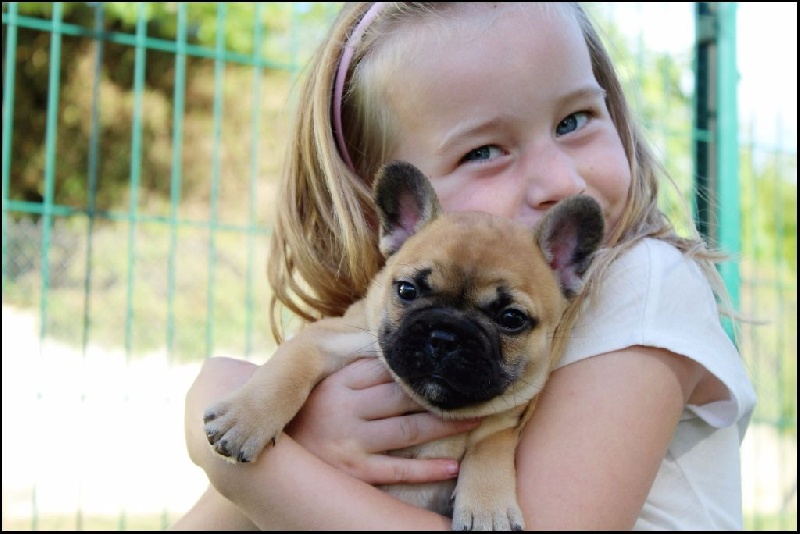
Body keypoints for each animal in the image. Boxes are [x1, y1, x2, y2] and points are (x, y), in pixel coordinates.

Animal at [203, 160, 604, 532]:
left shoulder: (504, 420)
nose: (445, 336)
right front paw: (246, 420)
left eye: (511, 318)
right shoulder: (330, 337)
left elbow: (492, 448)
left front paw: (489, 508)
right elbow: (289, 370)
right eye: (407, 290)